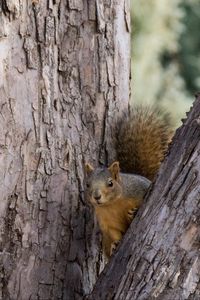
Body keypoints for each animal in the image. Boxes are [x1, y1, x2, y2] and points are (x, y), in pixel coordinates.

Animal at [84, 105, 172, 258]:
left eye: (110, 183)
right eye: (87, 184)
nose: (96, 196)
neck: (112, 204)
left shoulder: (139, 189)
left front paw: (134, 213)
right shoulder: (106, 221)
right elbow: (114, 233)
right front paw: (115, 244)